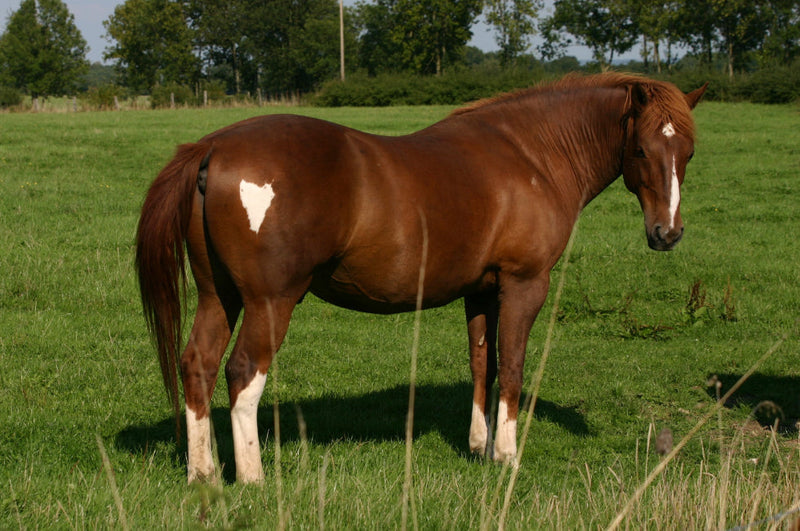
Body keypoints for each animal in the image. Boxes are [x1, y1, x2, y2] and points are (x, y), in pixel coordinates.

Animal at [136, 73, 707, 483]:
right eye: (641, 150)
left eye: (688, 153)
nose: (668, 233)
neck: (532, 155)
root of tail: (214, 146)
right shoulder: (524, 285)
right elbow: (513, 368)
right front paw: (508, 456)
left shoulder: (481, 291)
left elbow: (483, 365)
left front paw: (479, 447)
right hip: (270, 302)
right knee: (242, 374)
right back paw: (252, 479)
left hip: (220, 297)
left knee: (199, 365)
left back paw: (203, 473)